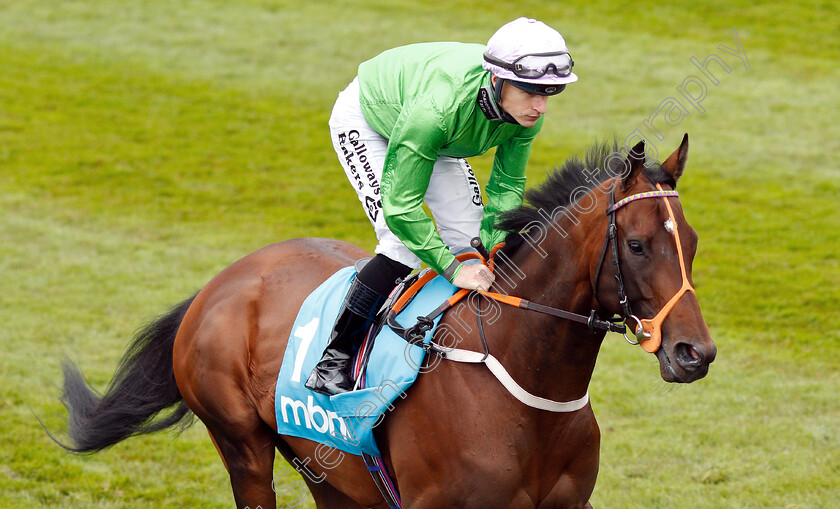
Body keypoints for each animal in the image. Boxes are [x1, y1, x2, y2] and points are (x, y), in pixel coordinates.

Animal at [57, 136, 716, 508]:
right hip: (241, 445)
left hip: (331, 474)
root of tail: (221, 282)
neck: (527, 391)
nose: (695, 353)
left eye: (692, 242)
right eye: (637, 245)